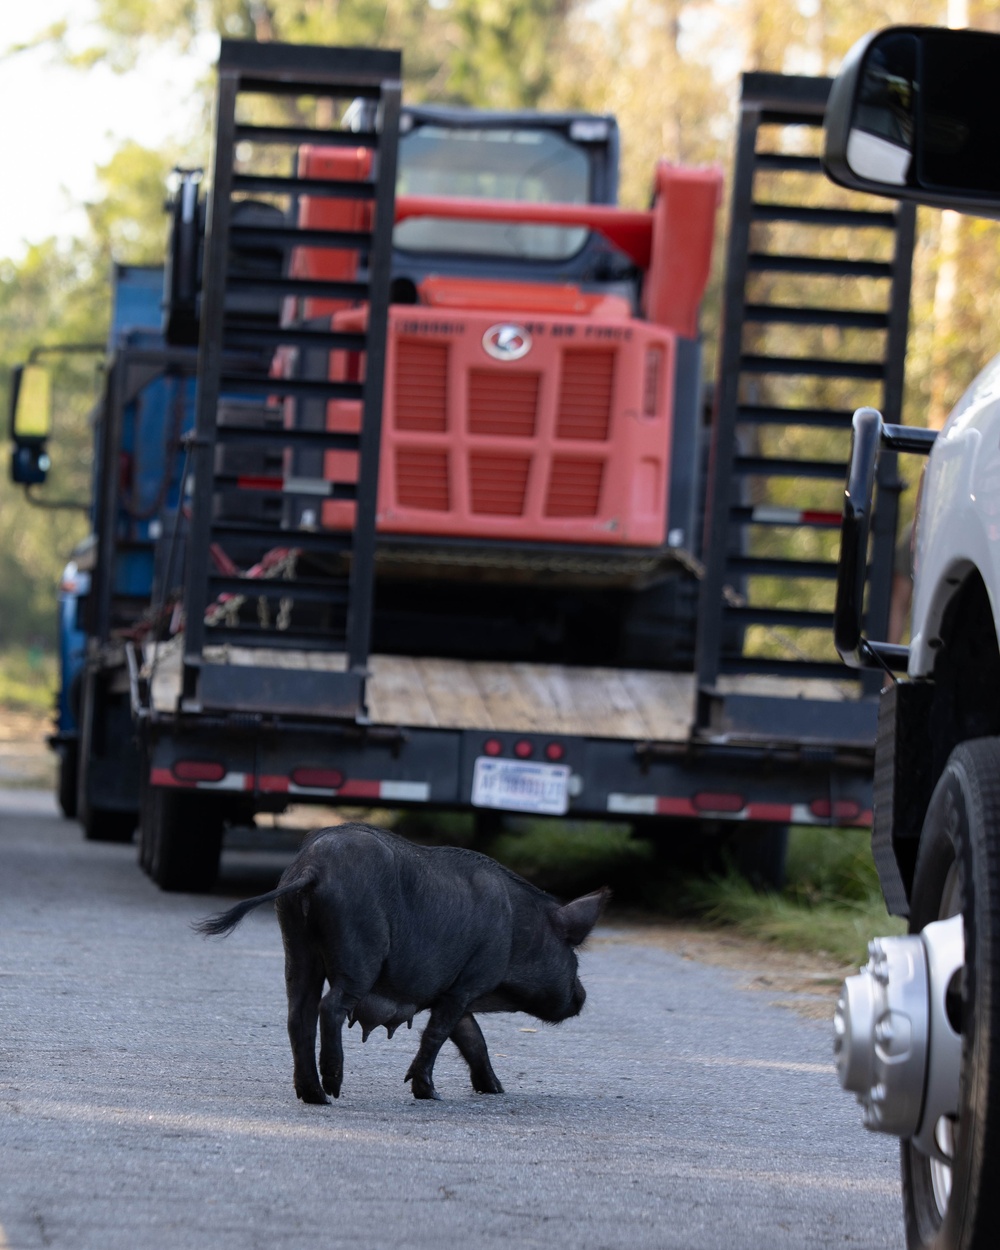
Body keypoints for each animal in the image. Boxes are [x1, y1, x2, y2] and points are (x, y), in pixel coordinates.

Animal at [192, 820, 605, 1105]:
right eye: (573, 955)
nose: (583, 996)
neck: (520, 933)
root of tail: (312, 869)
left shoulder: (454, 990)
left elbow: (472, 1038)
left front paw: (497, 1090)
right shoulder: (470, 981)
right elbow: (439, 1033)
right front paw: (430, 1094)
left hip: (296, 942)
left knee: (298, 1014)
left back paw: (314, 1095)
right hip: (359, 950)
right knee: (330, 1007)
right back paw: (334, 1088)